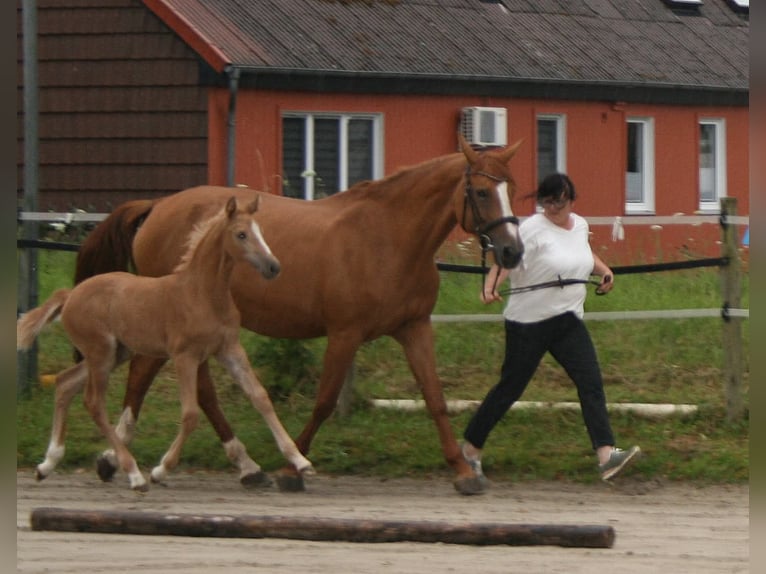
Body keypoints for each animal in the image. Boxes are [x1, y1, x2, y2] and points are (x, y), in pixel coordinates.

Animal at [17, 196, 314, 491]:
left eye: (260, 231)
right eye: (241, 234)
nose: (273, 267)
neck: (202, 293)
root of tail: (70, 295)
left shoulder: (229, 349)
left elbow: (260, 397)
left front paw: (300, 461)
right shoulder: (185, 356)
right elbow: (191, 414)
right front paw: (161, 470)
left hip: (115, 353)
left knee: (65, 383)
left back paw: (47, 464)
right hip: (100, 353)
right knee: (93, 402)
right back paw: (135, 475)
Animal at [73, 134, 524, 495]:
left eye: (512, 189)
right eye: (481, 192)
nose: (512, 251)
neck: (387, 238)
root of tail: (157, 206)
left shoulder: (414, 328)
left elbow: (435, 399)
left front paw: (463, 471)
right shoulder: (345, 333)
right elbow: (324, 401)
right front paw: (293, 468)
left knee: (195, 389)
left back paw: (241, 466)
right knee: (145, 375)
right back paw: (119, 457)